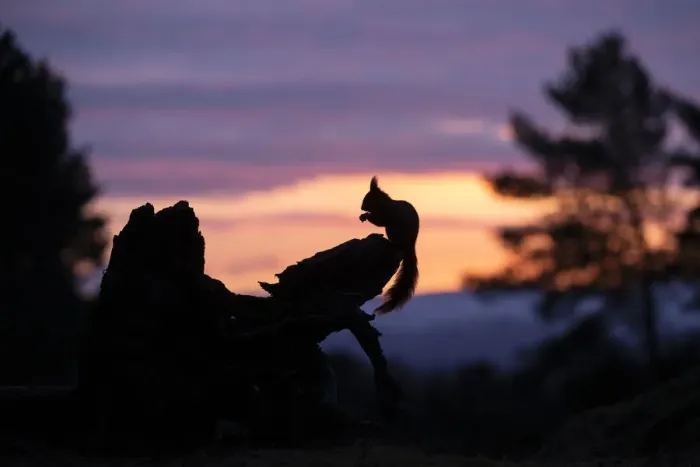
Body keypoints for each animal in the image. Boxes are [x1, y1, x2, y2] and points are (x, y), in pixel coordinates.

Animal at [359, 176, 420, 314]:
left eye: (368, 198)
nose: (362, 207)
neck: (384, 204)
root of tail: (410, 246)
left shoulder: (385, 214)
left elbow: (379, 221)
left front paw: (366, 216)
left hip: (392, 231)